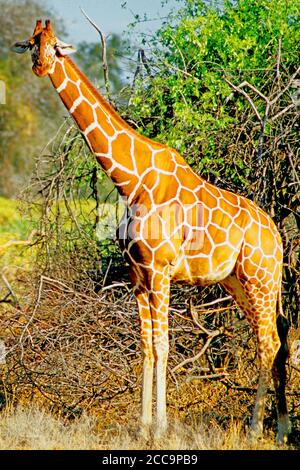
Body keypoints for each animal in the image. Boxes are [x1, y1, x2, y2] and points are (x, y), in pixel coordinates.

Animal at [13, 19, 290, 444]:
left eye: (56, 46)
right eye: (31, 44)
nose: (40, 67)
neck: (131, 180)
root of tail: (277, 235)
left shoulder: (160, 270)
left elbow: (162, 345)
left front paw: (159, 428)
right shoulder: (138, 274)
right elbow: (144, 345)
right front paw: (142, 427)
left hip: (261, 278)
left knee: (269, 342)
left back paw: (258, 428)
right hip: (240, 283)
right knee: (275, 338)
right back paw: (281, 430)